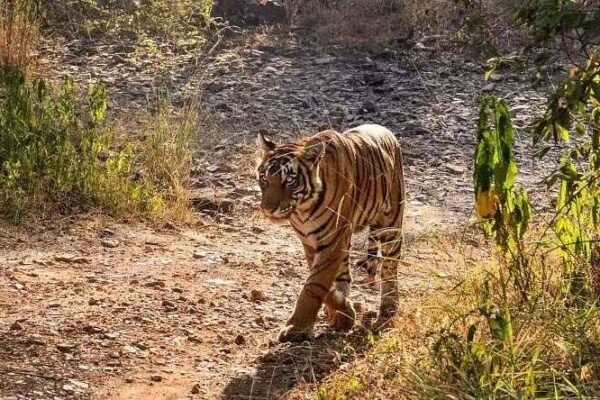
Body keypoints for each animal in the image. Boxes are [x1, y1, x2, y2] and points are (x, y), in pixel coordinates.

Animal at [255, 123, 406, 342]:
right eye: (264, 180)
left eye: (289, 181)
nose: (268, 209)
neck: (302, 209)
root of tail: (385, 130)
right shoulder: (311, 242)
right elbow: (321, 281)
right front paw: (343, 311)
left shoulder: (332, 240)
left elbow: (314, 284)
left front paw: (296, 327)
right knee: (345, 275)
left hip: (391, 224)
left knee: (389, 267)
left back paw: (388, 306)